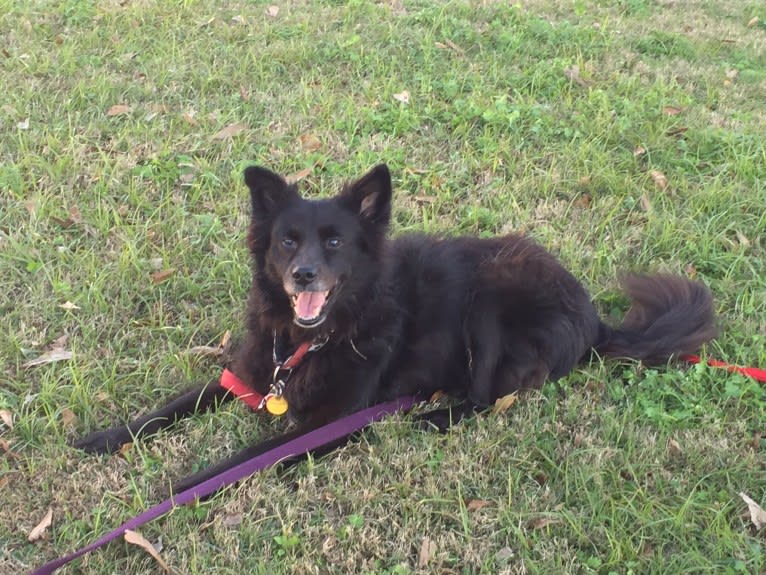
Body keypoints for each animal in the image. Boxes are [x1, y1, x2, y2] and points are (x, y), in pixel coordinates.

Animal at [75, 163, 716, 490]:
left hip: (489, 297)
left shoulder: (330, 422)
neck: (314, 338)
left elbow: (243, 458)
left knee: (487, 396)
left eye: (334, 242)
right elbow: (172, 406)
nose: (304, 274)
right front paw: (104, 438)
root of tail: (593, 316)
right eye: (288, 241)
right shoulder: (250, 374)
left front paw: (176, 488)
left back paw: (430, 415)